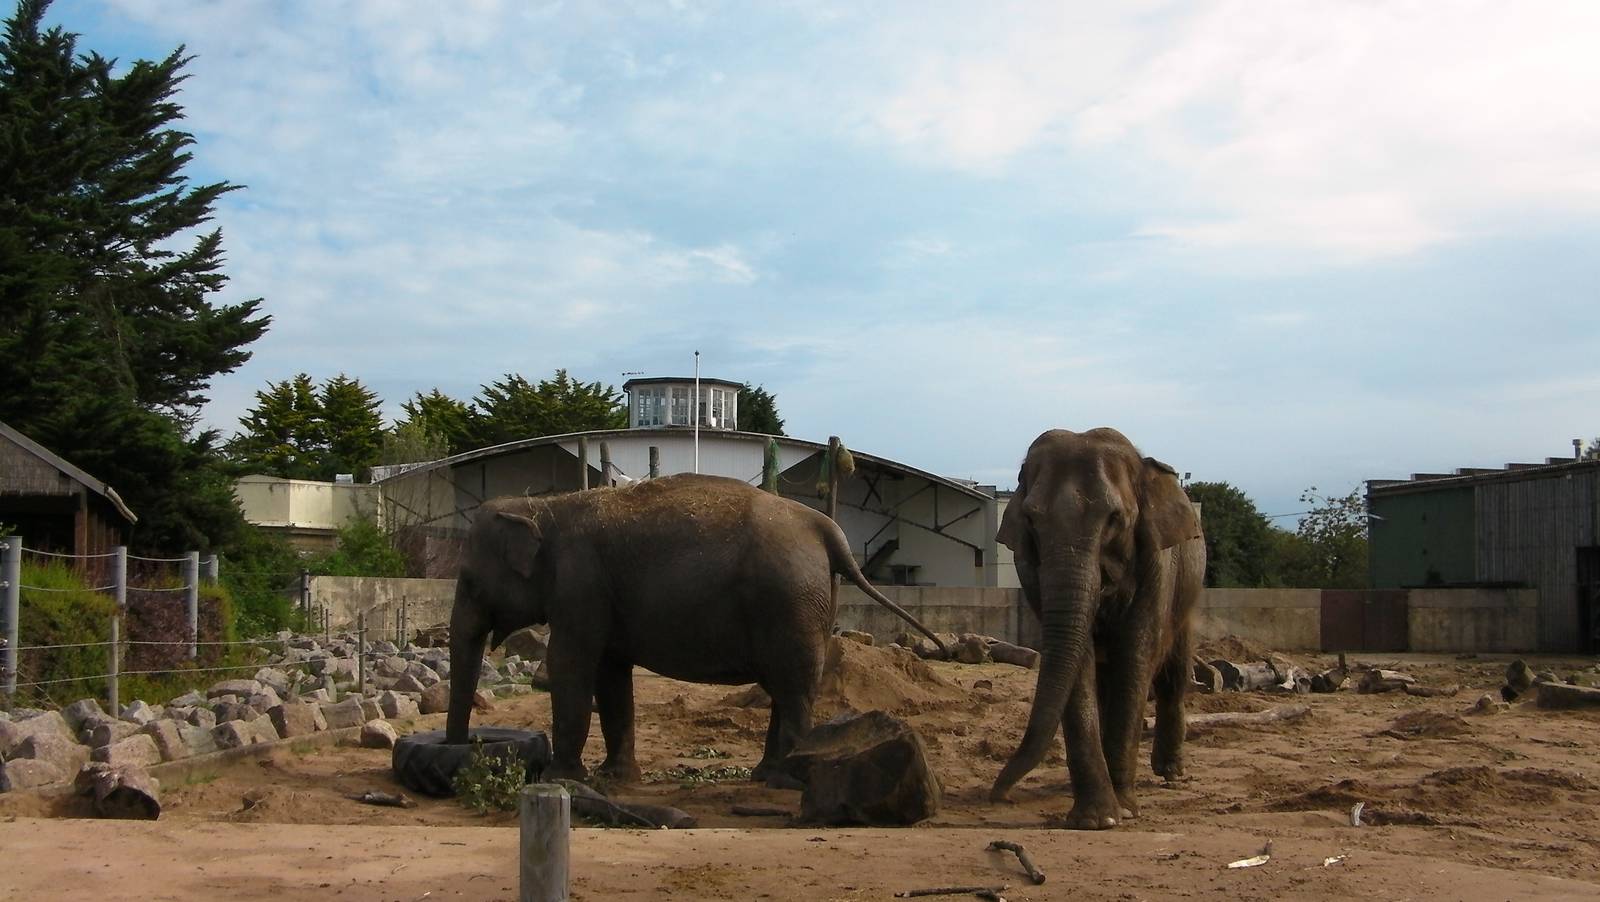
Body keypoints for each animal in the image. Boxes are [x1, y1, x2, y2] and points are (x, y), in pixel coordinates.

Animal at [445, 473, 946, 784]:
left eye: (467, 581)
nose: (461, 744)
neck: (544, 506)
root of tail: (825, 527)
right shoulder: (600, 596)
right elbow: (611, 675)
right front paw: (614, 779)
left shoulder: (579, 585)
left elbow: (571, 664)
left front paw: (559, 779)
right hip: (811, 605)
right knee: (787, 686)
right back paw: (764, 776)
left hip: (790, 601)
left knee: (794, 687)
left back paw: (785, 780)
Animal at [988, 428, 1205, 829]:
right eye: (1031, 520)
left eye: (1114, 519)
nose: (999, 796)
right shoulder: (1031, 571)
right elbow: (1080, 660)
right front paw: (1096, 819)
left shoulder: (1157, 563)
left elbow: (1135, 657)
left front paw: (1123, 811)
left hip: (1188, 590)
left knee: (1173, 673)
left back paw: (1170, 773)